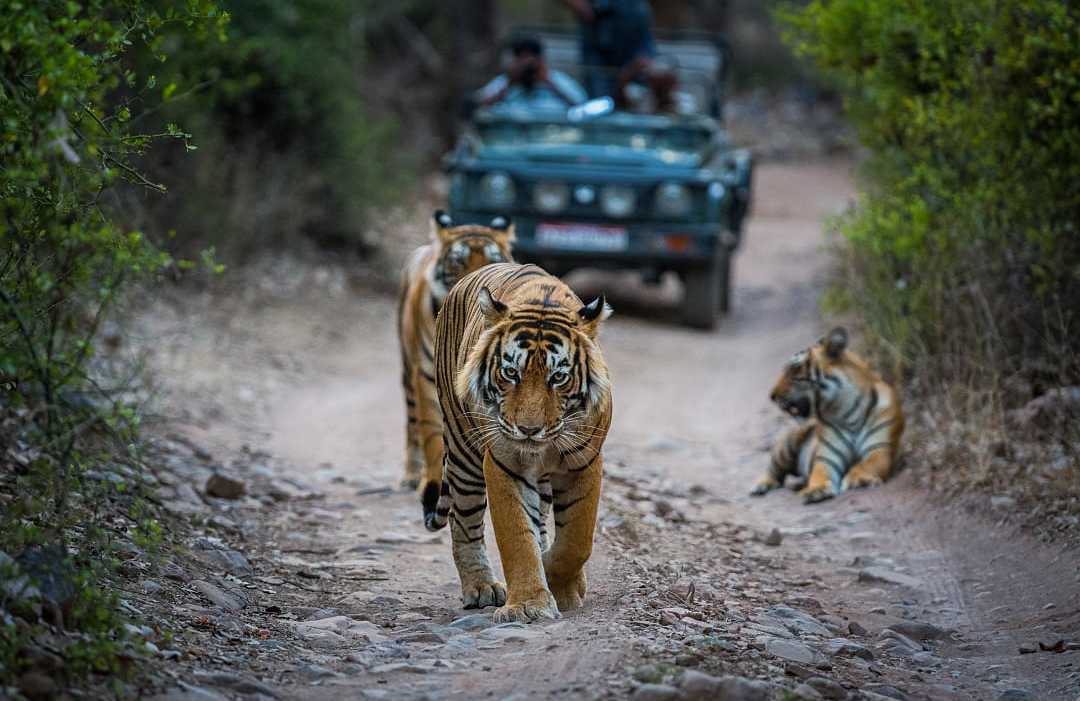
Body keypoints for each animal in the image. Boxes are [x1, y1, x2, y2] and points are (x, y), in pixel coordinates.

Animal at [398, 210, 514, 489]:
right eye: (458, 262)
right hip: (408, 370)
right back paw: (410, 475)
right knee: (412, 422)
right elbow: (430, 432)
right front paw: (430, 480)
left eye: (493, 260)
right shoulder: (426, 374)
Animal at [422, 263, 613, 623]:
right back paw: (481, 588)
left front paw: (562, 584)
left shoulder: (585, 462)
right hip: (463, 451)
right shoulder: (504, 462)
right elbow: (517, 537)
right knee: (464, 522)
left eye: (559, 377)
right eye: (511, 373)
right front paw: (528, 604)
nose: (528, 430)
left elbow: (577, 539)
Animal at [750, 326, 904, 504]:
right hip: (788, 443)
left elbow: (867, 464)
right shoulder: (827, 457)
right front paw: (816, 490)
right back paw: (760, 485)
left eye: (794, 373)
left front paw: (858, 479)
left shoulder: (880, 449)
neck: (847, 411)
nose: (772, 396)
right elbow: (819, 473)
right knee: (774, 470)